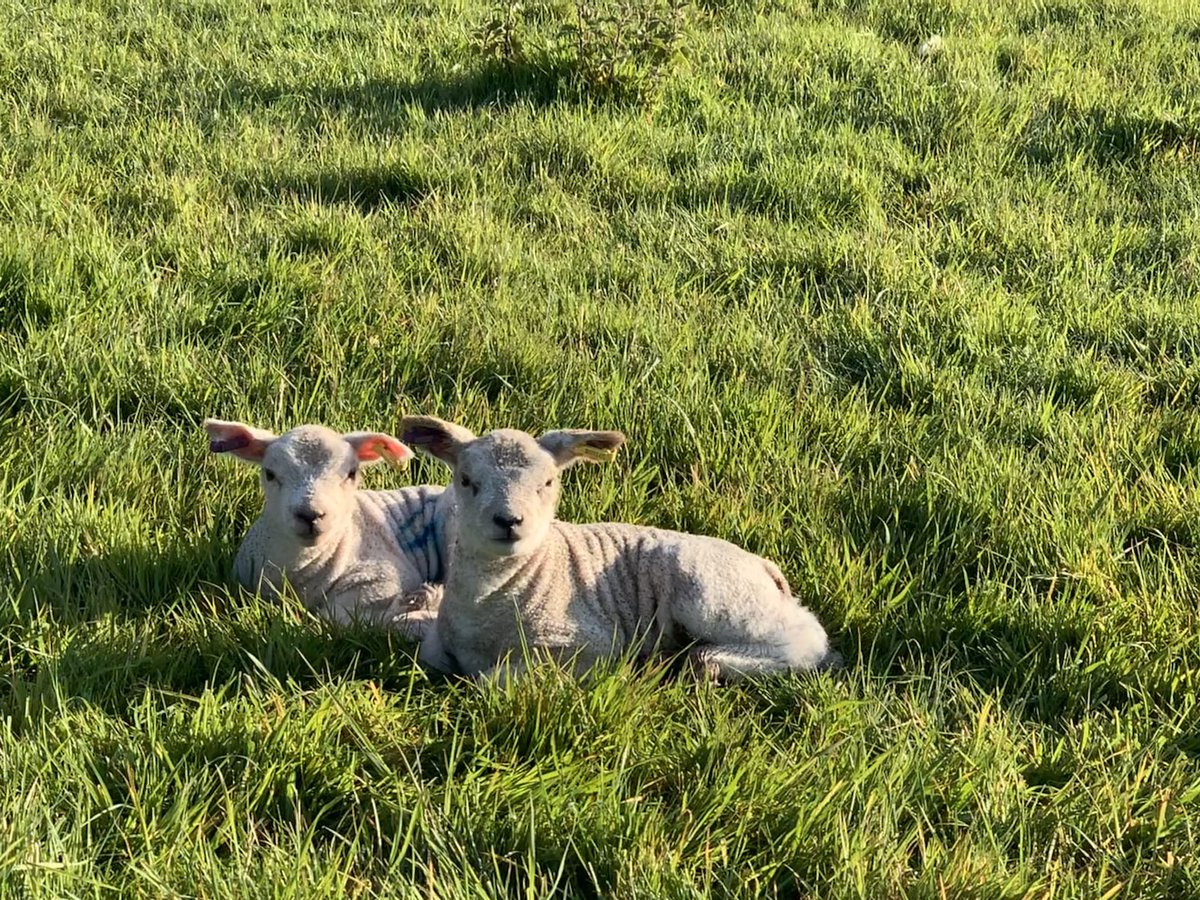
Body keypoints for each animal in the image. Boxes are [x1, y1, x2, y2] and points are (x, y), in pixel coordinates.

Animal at [400, 416, 842, 682]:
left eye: (548, 483)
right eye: (466, 480)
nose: (509, 521)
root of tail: (764, 566)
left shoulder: (586, 644)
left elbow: (490, 682)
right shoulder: (439, 643)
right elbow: (431, 657)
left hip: (715, 593)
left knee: (806, 639)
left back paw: (709, 660)